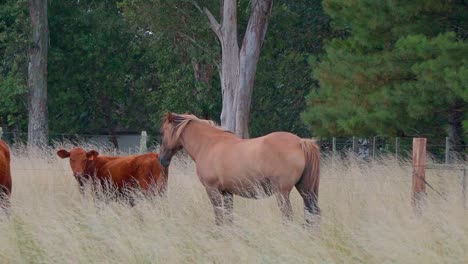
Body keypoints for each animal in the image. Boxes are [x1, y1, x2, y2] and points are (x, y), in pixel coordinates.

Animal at [159, 112, 320, 225]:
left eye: (163, 131)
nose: (161, 159)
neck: (209, 144)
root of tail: (300, 142)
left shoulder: (213, 190)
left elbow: (219, 217)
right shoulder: (227, 193)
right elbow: (229, 217)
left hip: (282, 193)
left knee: (288, 216)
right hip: (305, 190)